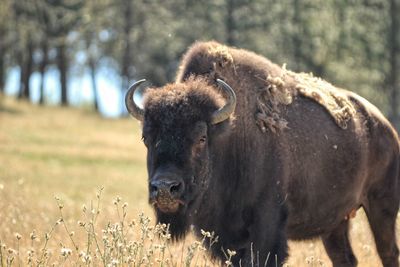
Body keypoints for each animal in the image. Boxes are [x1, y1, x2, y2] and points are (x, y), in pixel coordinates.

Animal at [125, 40, 400, 266]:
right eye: (146, 138)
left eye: (201, 138)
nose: (164, 188)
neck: (228, 138)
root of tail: (386, 128)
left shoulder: (267, 228)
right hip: (336, 222)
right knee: (345, 258)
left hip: (382, 208)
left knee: (388, 252)